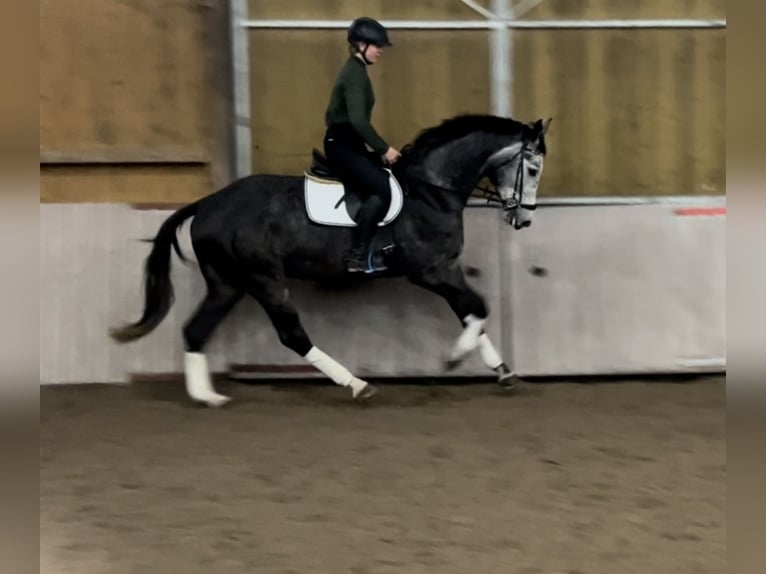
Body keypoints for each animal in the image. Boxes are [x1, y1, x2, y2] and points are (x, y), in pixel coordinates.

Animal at [109, 115, 552, 408]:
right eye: (532, 167)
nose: (525, 219)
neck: (431, 190)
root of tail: (206, 204)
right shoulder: (432, 270)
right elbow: (478, 308)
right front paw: (454, 358)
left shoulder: (443, 271)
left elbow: (471, 312)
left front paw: (504, 372)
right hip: (264, 278)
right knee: (292, 335)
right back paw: (356, 384)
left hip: (227, 282)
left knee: (196, 329)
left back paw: (207, 396)